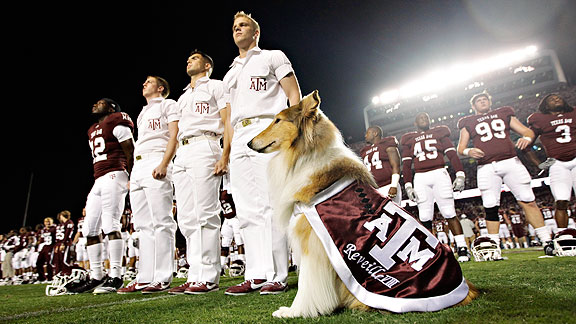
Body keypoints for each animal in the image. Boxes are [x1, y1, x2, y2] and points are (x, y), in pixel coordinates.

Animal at [248, 90, 476, 318]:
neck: (306, 154)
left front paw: (294, 312)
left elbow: (307, 285)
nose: (249, 143)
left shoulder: (312, 241)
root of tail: (466, 290)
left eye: (278, 120)